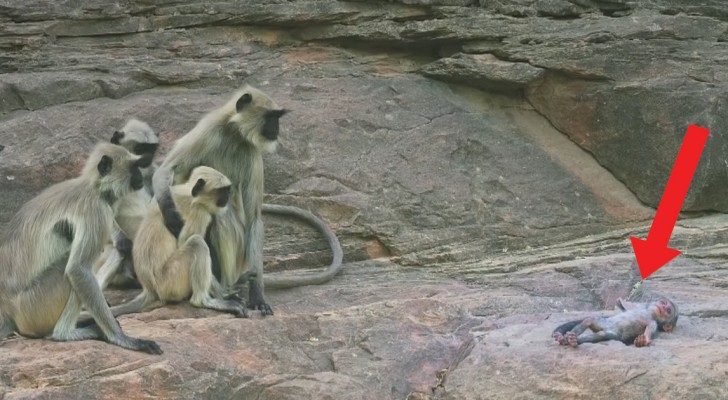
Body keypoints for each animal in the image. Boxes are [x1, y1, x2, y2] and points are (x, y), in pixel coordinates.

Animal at [0, 142, 162, 354]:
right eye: (134, 167)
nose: (140, 177)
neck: (93, 187)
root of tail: (8, 310)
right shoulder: (96, 210)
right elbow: (78, 269)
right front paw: (122, 339)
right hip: (33, 306)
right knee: (71, 268)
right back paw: (67, 333)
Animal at [153, 84, 344, 316]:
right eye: (271, 117)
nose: (277, 128)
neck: (233, 133)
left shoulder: (253, 153)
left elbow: (253, 220)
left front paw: (257, 295)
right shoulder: (208, 129)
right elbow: (166, 169)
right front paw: (171, 217)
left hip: (240, 261)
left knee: (224, 218)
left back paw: (228, 289)